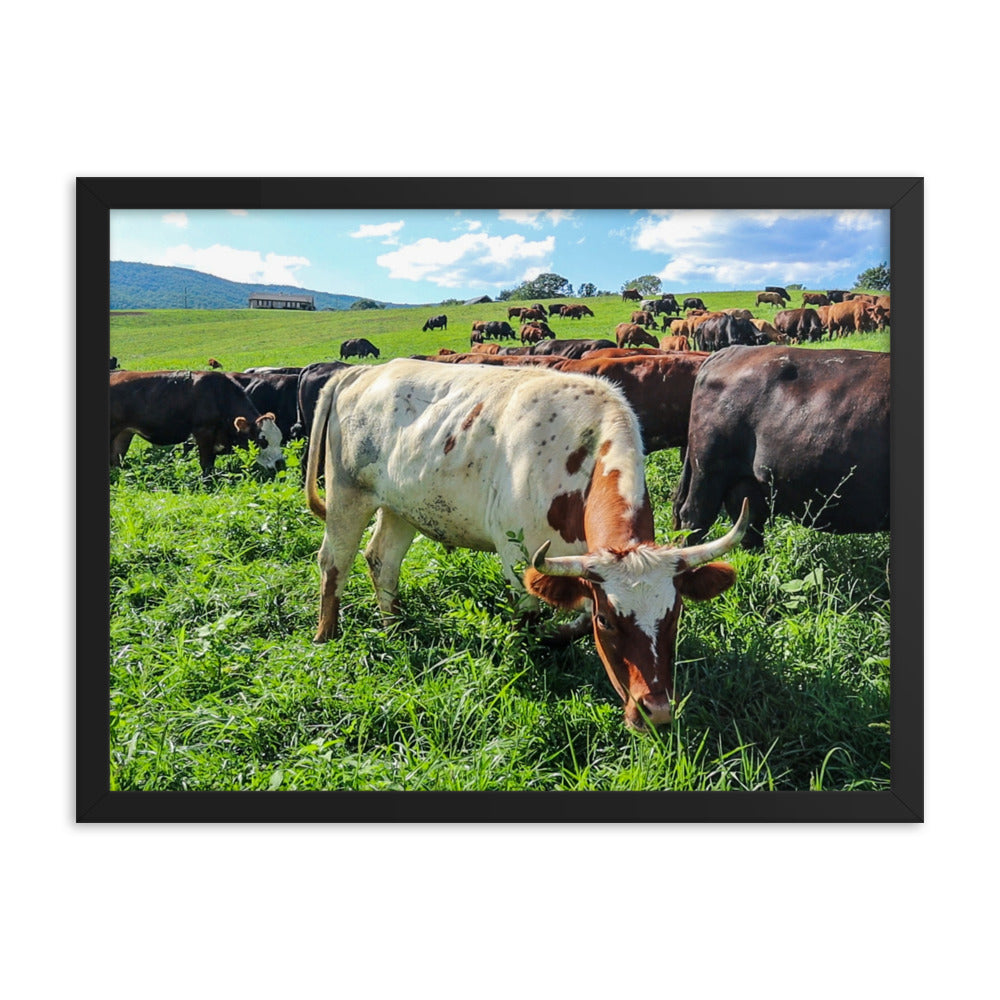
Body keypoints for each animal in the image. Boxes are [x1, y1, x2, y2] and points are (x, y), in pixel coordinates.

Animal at [110, 370, 285, 477]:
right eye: (262, 441)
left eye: (280, 439)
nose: (281, 464)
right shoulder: (204, 433)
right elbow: (206, 464)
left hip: (124, 433)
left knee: (116, 460)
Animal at [304, 358, 747, 730]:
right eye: (609, 622)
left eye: (675, 615)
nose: (655, 712)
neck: (580, 455)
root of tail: (362, 372)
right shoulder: (519, 557)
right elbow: (531, 619)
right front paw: (532, 657)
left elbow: (575, 620)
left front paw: (557, 637)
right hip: (347, 495)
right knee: (334, 563)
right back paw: (326, 637)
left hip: (400, 508)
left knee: (382, 561)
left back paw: (395, 626)